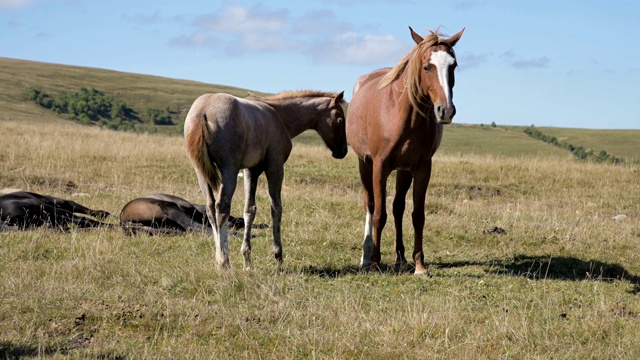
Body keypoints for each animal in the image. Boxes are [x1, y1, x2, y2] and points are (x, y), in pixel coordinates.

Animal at [182, 91, 348, 268]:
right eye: (340, 120)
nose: (342, 151)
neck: (278, 115)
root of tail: (203, 111)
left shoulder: (251, 171)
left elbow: (249, 210)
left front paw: (247, 260)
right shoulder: (275, 167)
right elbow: (276, 209)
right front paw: (278, 257)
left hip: (202, 172)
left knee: (210, 208)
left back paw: (219, 259)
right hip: (229, 170)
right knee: (222, 208)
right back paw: (224, 261)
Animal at [348, 27, 462, 276]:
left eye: (453, 65)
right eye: (426, 66)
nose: (446, 110)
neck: (403, 115)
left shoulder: (421, 167)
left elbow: (417, 215)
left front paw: (420, 265)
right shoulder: (380, 166)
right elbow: (379, 214)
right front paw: (375, 262)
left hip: (403, 170)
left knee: (398, 207)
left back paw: (400, 257)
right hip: (364, 164)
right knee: (370, 205)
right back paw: (366, 256)